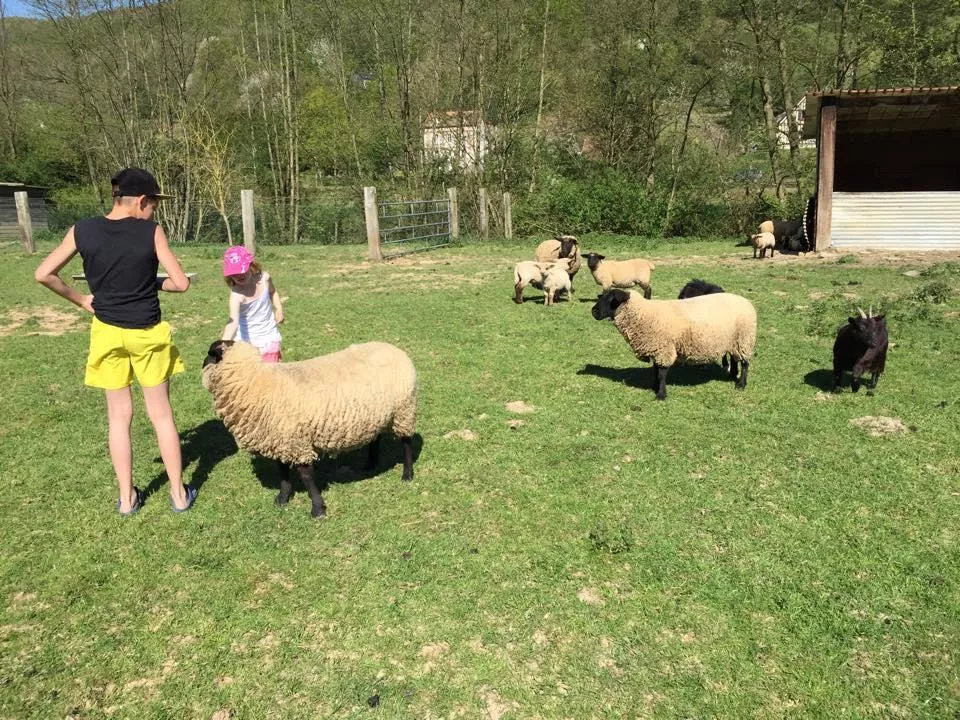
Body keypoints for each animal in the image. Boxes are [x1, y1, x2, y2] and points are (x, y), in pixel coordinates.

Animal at [202, 338, 416, 516]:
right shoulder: (281, 439)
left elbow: (306, 476)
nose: (201, 363)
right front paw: (283, 497)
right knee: (375, 438)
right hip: (376, 415)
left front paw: (317, 508)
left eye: (209, 354)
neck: (255, 382)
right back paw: (370, 464)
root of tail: (395, 349)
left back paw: (407, 474)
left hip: (404, 410)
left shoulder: (297, 442)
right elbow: (282, 471)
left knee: (406, 442)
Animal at [592, 286, 756, 400]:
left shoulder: (664, 348)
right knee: (735, 358)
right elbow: (656, 370)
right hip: (734, 340)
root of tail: (747, 302)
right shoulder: (657, 348)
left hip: (745, 339)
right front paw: (654, 387)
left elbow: (662, 373)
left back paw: (741, 384)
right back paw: (732, 375)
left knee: (745, 363)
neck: (644, 314)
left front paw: (661, 394)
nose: (593, 312)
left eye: (611, 300)